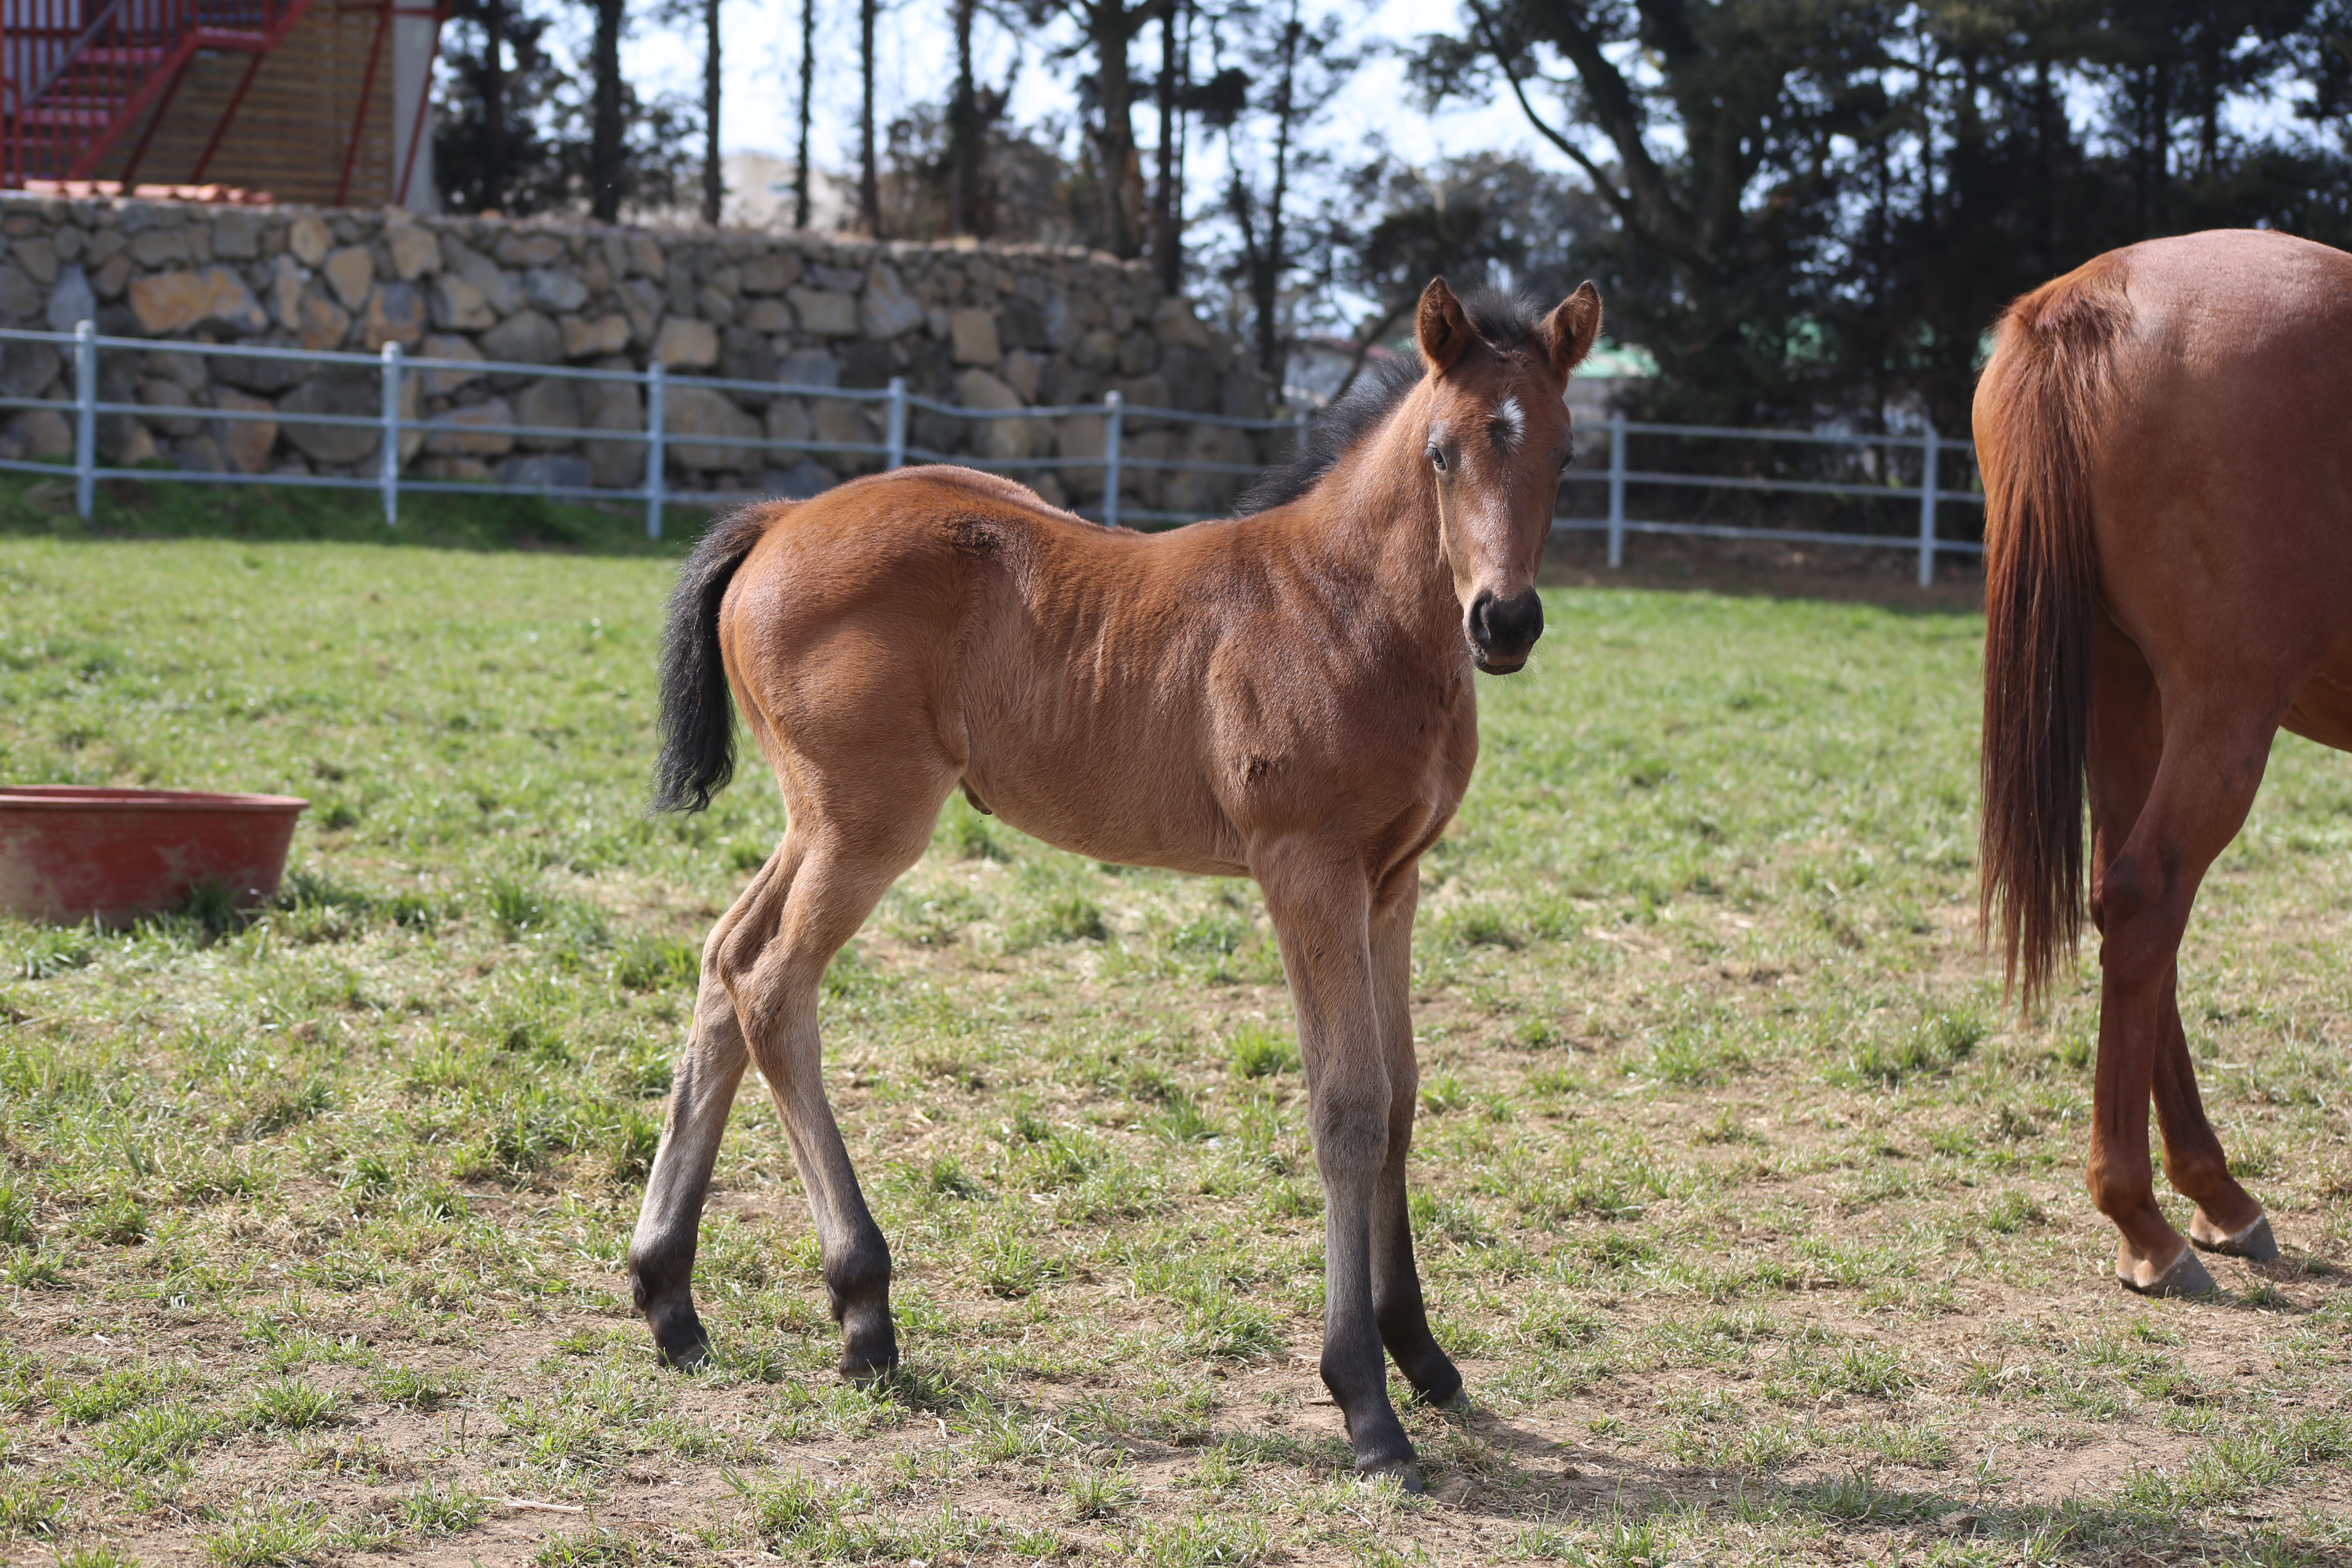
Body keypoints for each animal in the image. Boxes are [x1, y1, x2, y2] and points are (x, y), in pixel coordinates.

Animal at [635, 276, 1608, 1495]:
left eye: (1566, 454)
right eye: (1442, 452)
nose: (1505, 622)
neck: (1346, 610)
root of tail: (777, 520)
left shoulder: (1394, 882)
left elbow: (1400, 1098)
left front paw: (1422, 1353)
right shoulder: (1306, 871)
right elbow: (1345, 1106)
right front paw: (1364, 1402)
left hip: (816, 820)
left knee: (723, 960)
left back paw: (668, 1295)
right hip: (865, 822)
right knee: (771, 985)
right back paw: (861, 1308)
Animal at [1976, 223, 2342, 1297]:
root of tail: (2091, 295)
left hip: (2120, 686)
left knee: (2127, 903)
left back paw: (2212, 1194)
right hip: (2221, 707)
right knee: (2146, 903)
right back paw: (2146, 1219)